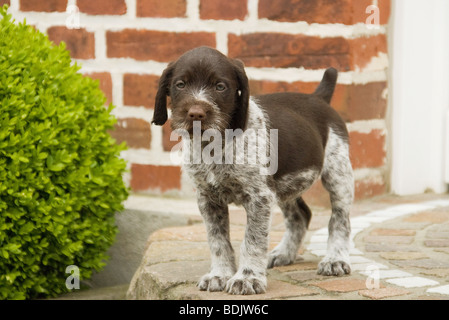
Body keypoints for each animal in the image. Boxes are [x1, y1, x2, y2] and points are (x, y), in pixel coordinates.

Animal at [151, 46, 354, 296]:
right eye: (180, 84)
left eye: (220, 86)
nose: (196, 113)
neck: (215, 146)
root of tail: (318, 97)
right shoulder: (208, 199)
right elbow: (217, 240)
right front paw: (220, 274)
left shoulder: (259, 198)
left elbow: (253, 240)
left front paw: (247, 278)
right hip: (285, 184)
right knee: (300, 215)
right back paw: (284, 253)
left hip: (338, 173)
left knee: (339, 219)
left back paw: (335, 259)